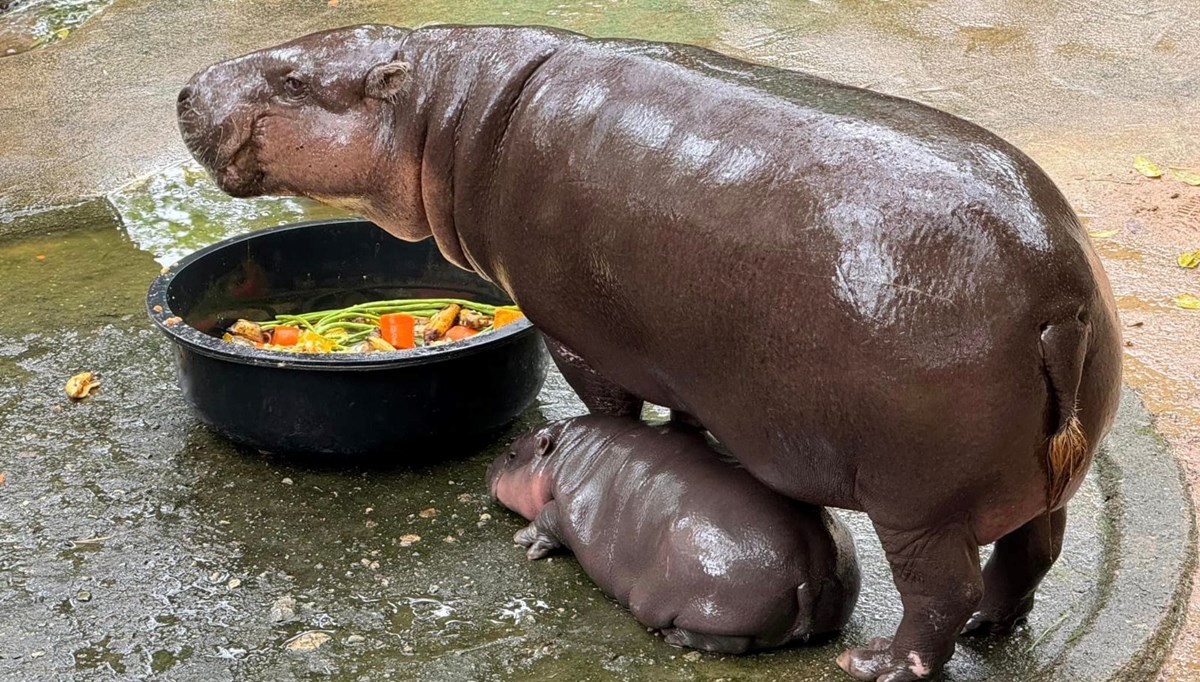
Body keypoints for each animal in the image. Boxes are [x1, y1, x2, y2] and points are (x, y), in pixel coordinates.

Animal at [487, 415, 861, 653]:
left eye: (511, 454)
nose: (489, 467)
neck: (563, 454)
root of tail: (811, 572)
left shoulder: (570, 506)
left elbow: (548, 518)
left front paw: (524, 541)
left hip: (700, 606)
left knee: (728, 642)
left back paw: (674, 637)